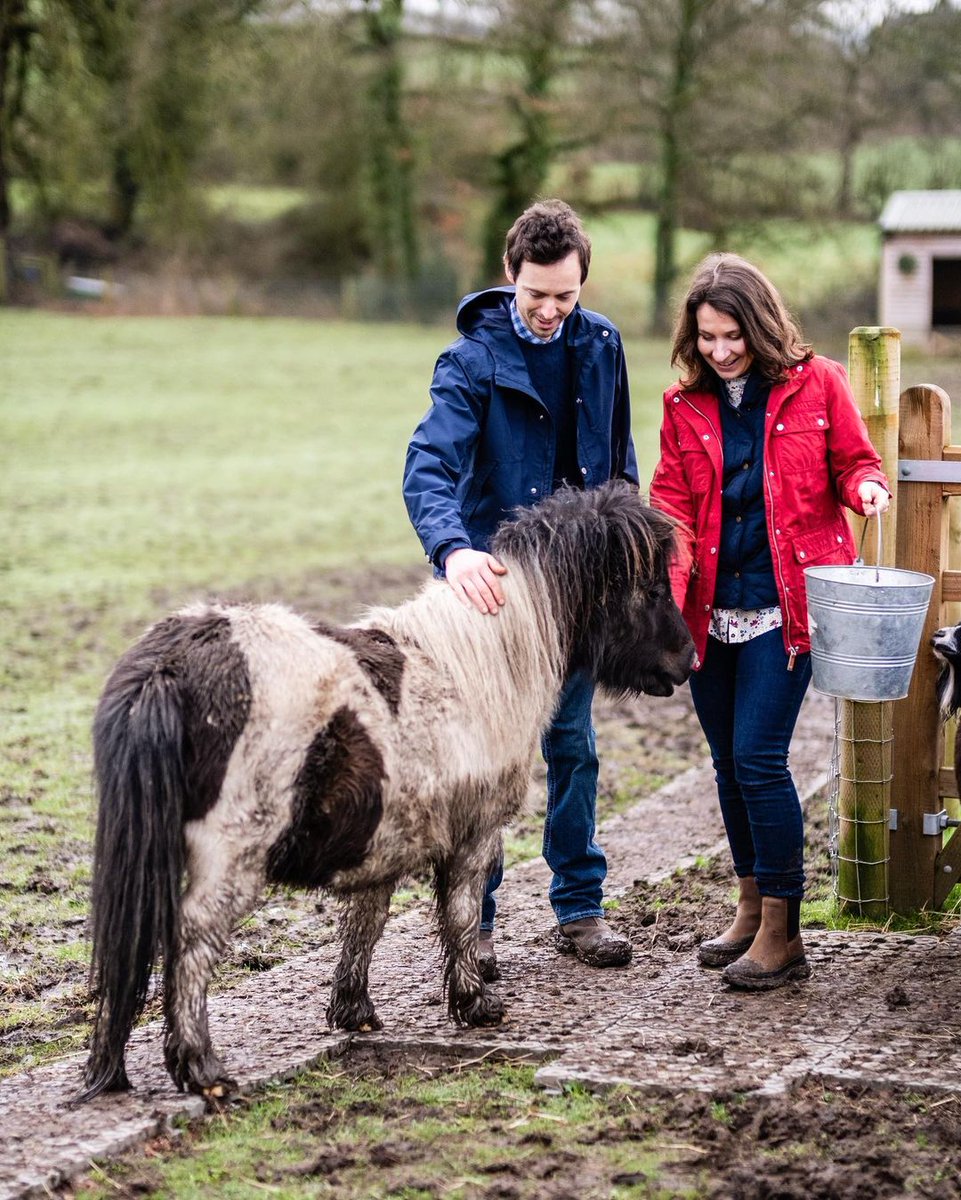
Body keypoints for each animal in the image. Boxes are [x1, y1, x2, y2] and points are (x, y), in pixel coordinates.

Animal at [74, 477, 691, 1099]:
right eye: (652, 587)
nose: (687, 659)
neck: (482, 663)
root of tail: (170, 665)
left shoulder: (383, 839)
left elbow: (366, 921)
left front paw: (355, 1012)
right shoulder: (475, 837)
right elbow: (462, 916)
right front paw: (477, 1004)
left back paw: (110, 1068)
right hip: (230, 858)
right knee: (189, 942)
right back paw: (202, 1069)